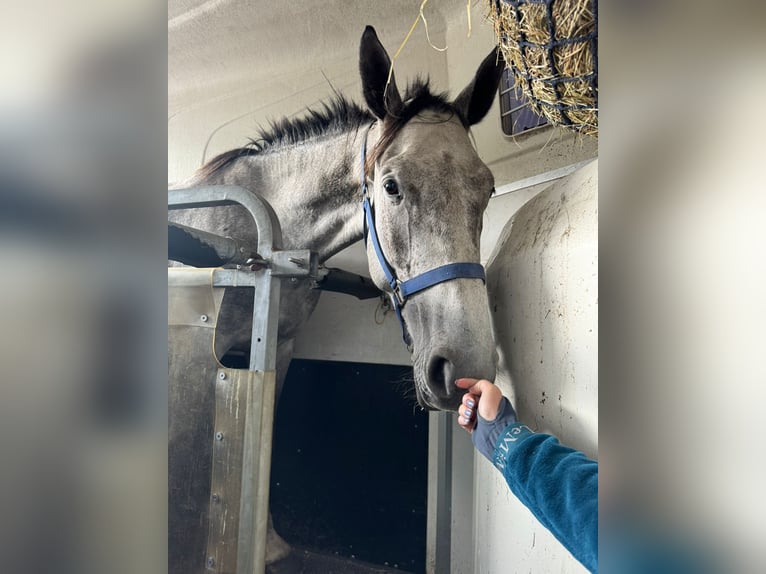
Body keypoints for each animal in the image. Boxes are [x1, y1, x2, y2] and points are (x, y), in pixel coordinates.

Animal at [170, 25, 504, 568]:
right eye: (390, 186)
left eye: (488, 189)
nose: (465, 367)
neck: (264, 235)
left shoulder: (278, 347)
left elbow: (268, 431)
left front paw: (267, 542)